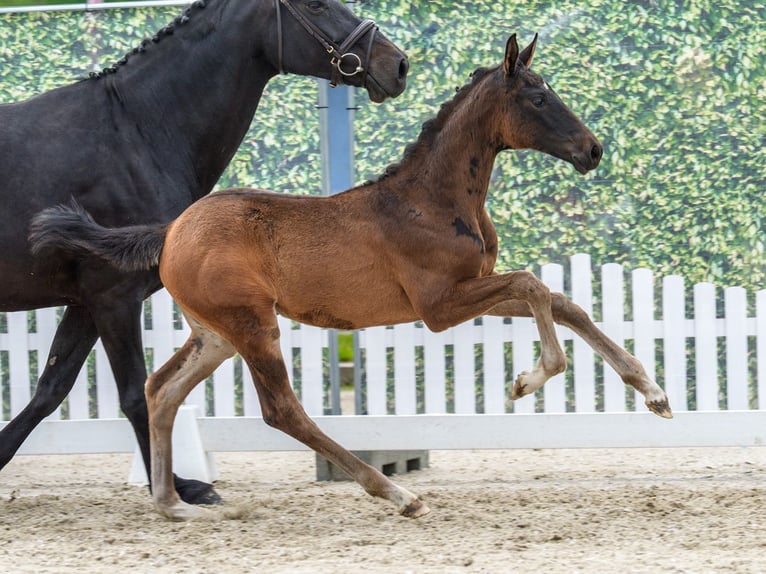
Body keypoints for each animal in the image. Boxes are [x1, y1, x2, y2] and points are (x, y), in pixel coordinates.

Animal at [0, 0, 408, 505]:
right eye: (314, 5)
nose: (397, 65)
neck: (136, 133)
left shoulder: (85, 302)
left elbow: (50, 389)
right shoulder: (113, 295)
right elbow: (135, 393)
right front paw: (183, 486)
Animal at [29, 33, 672, 520]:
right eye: (537, 98)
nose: (593, 150)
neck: (430, 199)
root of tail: (169, 233)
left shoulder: (466, 293)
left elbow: (563, 301)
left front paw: (654, 393)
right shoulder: (439, 306)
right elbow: (534, 286)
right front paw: (529, 379)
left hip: (214, 335)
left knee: (161, 391)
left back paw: (174, 505)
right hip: (252, 326)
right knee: (281, 410)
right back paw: (397, 492)